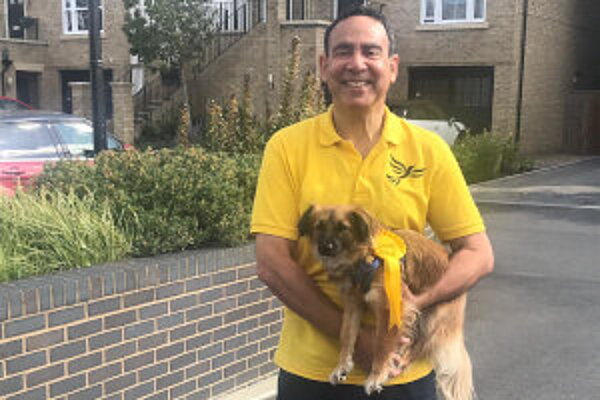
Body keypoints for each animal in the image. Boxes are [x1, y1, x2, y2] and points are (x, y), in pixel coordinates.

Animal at [296, 205, 474, 398]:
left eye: (343, 228)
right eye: (318, 226)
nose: (325, 247)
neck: (363, 258)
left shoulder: (390, 308)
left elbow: (381, 345)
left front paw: (377, 376)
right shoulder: (353, 304)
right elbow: (346, 335)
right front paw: (341, 366)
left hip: (432, 319)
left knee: (419, 346)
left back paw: (401, 360)